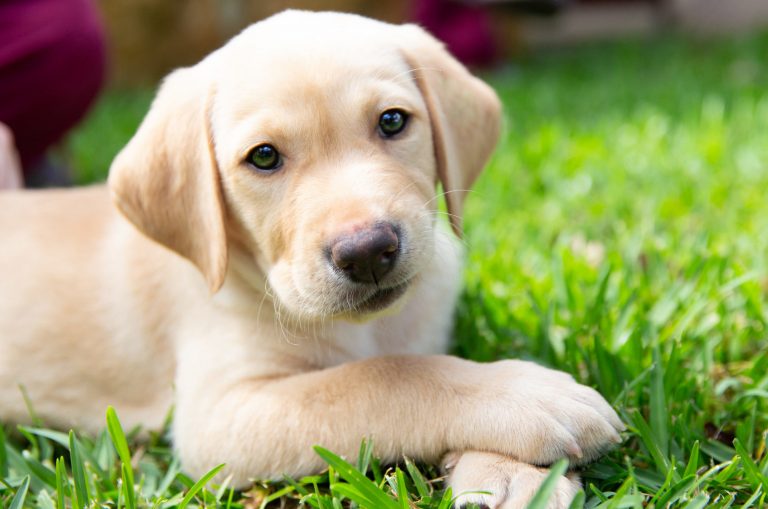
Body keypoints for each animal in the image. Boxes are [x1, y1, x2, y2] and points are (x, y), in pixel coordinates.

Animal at [0, 9, 624, 506]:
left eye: (392, 121)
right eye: (264, 157)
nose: (367, 252)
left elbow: (412, 362)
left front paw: (513, 472)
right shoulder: (224, 415)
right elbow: (380, 378)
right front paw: (526, 395)